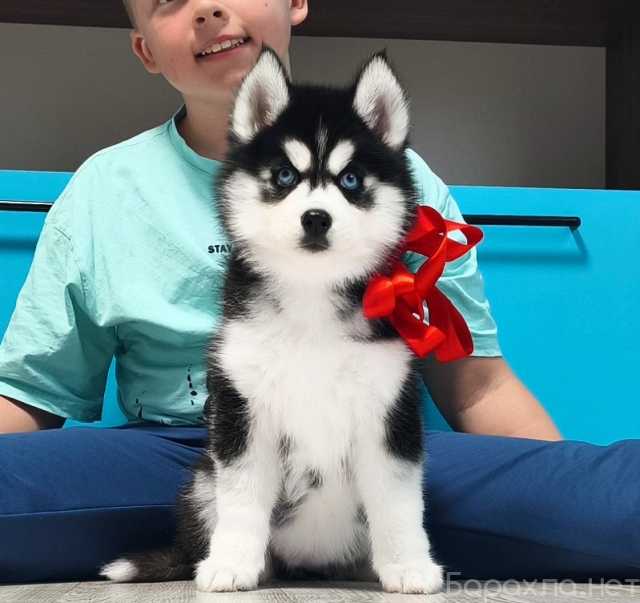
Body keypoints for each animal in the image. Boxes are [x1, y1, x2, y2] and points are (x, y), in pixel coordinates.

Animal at [101, 46, 445, 596]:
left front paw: (409, 566)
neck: (311, 298)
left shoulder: (389, 411)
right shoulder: (244, 411)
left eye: (351, 181)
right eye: (284, 176)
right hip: (203, 477)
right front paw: (231, 564)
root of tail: (311, 565)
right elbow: (242, 500)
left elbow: (397, 500)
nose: (316, 217)